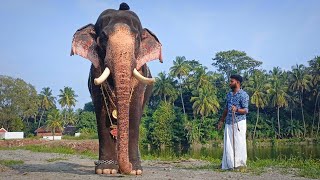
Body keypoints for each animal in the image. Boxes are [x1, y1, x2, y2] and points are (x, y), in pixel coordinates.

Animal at [69, 2, 161, 174]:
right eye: (103, 38)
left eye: (137, 38)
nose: (128, 167)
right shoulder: (95, 75)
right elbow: (101, 112)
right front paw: (106, 170)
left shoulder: (141, 77)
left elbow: (134, 113)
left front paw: (135, 170)